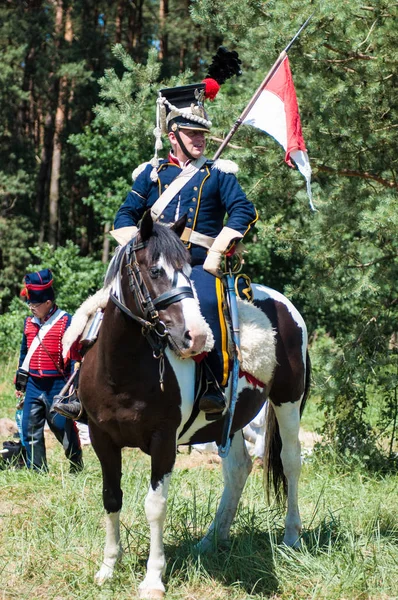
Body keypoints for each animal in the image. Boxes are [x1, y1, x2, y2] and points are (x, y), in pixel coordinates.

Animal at [79, 213, 310, 596]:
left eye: (189, 272)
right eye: (155, 270)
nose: (197, 337)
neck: (122, 371)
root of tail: (284, 304)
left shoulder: (163, 441)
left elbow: (155, 505)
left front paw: (153, 578)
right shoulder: (102, 438)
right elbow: (111, 496)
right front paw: (108, 568)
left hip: (287, 402)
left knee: (289, 461)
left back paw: (291, 537)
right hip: (231, 420)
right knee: (238, 468)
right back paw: (212, 539)